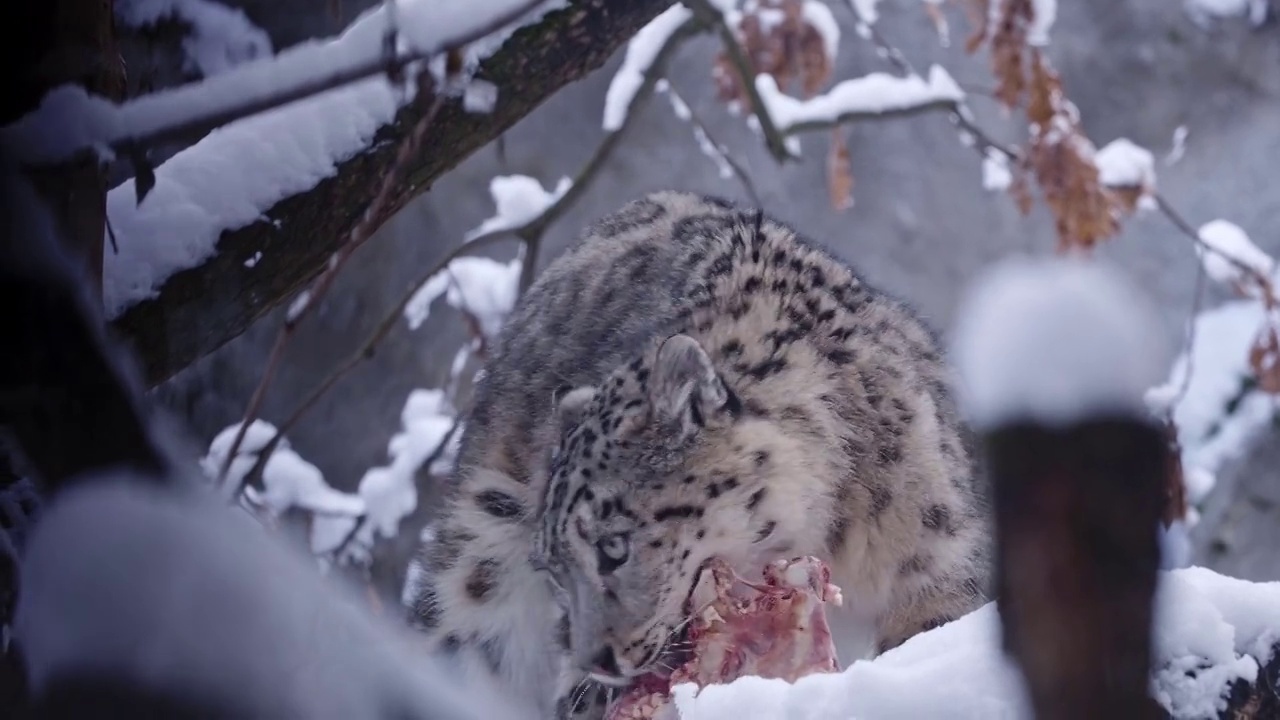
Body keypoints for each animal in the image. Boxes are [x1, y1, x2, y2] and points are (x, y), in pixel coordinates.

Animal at [409, 188, 988, 712]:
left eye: (614, 546)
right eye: (553, 569)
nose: (596, 660)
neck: (832, 536)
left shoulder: (936, 556)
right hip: (479, 560)